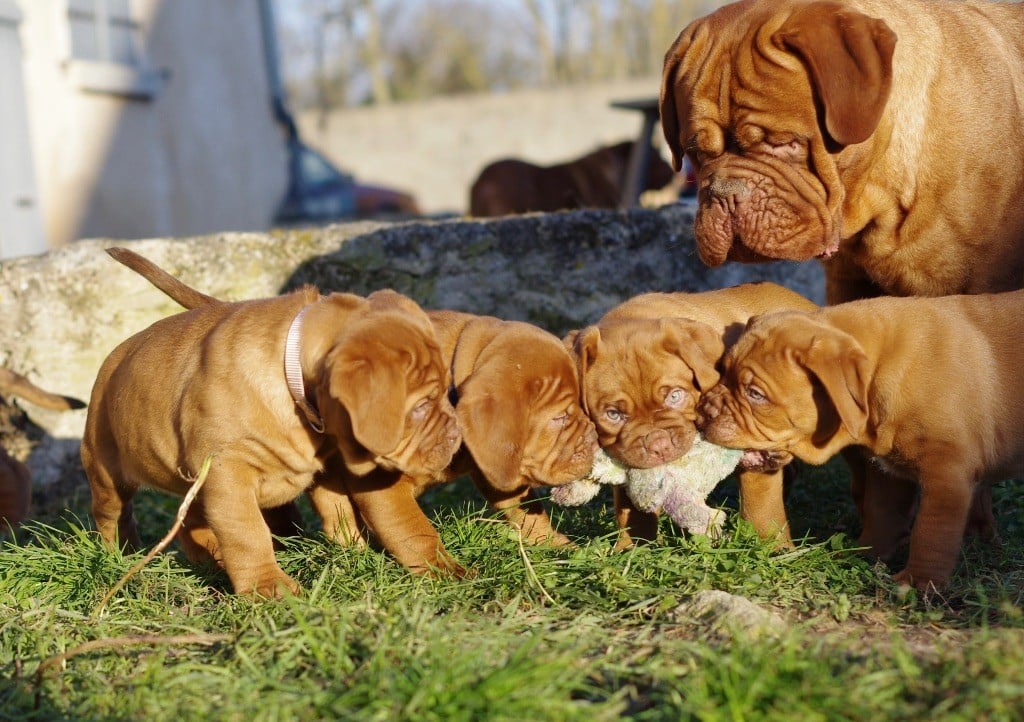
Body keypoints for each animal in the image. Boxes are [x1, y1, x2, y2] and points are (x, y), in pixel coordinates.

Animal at [700, 290, 1024, 589]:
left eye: (756, 394)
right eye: (722, 373)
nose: (705, 410)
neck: (883, 366)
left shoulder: (947, 473)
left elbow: (931, 532)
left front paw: (918, 582)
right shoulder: (887, 469)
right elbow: (882, 511)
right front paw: (864, 554)